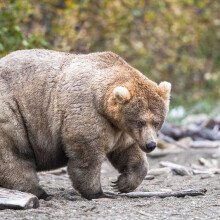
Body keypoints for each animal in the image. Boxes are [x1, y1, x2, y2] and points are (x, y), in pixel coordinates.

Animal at [0, 49, 171, 199]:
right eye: (140, 121)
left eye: (156, 122)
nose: (151, 145)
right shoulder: (88, 111)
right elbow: (88, 155)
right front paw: (98, 193)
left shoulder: (121, 129)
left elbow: (128, 151)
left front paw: (123, 183)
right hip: (12, 110)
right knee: (14, 153)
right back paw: (38, 191)